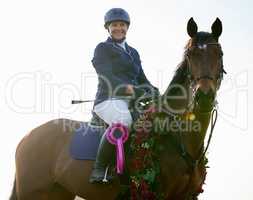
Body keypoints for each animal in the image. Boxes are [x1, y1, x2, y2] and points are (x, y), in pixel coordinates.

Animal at [9, 17, 225, 200]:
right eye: (189, 54)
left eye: (220, 54)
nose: (204, 96)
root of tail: (26, 137)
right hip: (33, 192)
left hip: (59, 192)